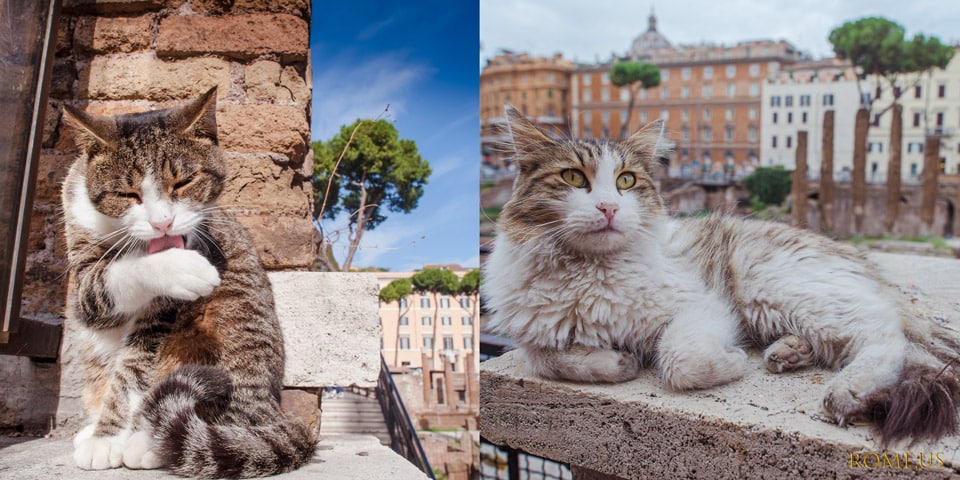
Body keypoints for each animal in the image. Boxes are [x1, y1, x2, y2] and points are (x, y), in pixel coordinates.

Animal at [62, 88, 316, 478]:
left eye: (183, 182)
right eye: (127, 194)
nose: (162, 223)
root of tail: (275, 413)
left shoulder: (159, 318)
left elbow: (132, 370)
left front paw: (108, 438)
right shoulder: (83, 277)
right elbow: (111, 279)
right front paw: (102, 436)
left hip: (225, 329)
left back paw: (149, 443)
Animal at [484, 106, 960, 446]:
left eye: (626, 181)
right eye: (572, 177)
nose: (609, 207)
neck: (590, 270)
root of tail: (857, 258)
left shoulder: (702, 306)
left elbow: (678, 359)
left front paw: (729, 363)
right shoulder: (535, 335)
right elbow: (545, 359)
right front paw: (615, 362)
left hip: (775, 287)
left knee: (889, 339)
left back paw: (846, 391)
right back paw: (790, 352)